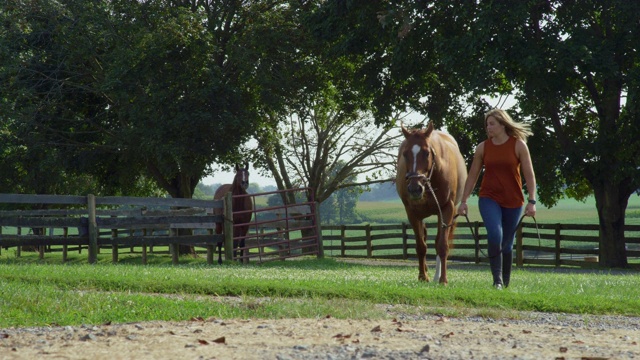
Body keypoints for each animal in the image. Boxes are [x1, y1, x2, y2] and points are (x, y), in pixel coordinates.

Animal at [392, 123, 468, 284]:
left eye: (426, 153)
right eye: (405, 154)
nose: (415, 189)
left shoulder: (446, 209)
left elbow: (442, 245)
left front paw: (443, 279)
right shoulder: (412, 213)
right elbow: (421, 246)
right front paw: (422, 276)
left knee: (439, 241)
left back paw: (437, 276)